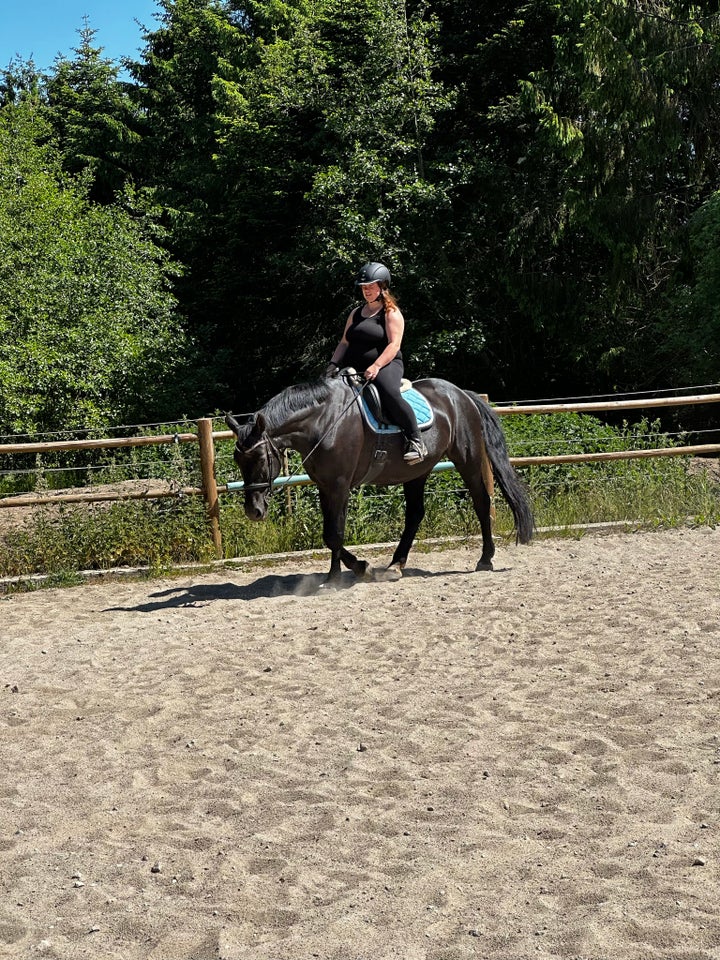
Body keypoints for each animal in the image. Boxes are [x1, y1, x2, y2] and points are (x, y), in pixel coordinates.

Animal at [226, 376, 536, 584]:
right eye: (238, 460)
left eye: (261, 459)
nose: (253, 511)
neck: (324, 422)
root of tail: (461, 394)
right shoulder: (325, 486)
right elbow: (329, 534)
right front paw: (359, 568)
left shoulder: (339, 486)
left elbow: (334, 533)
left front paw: (337, 576)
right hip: (417, 472)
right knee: (415, 514)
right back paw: (396, 564)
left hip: (467, 460)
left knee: (482, 502)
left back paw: (485, 559)